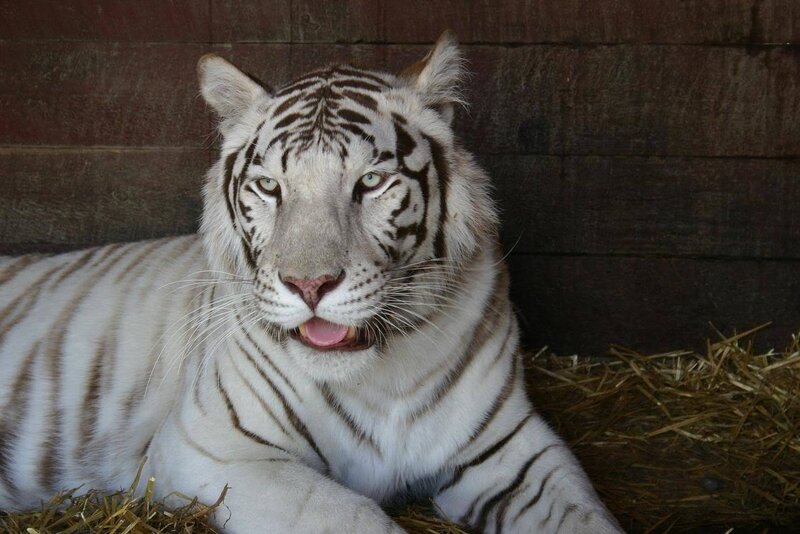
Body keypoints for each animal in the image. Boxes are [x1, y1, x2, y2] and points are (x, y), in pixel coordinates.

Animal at [0, 32, 622, 533]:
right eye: (270, 187)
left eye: (370, 182)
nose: (310, 285)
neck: (383, 377)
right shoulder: (211, 448)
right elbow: (351, 515)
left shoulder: (512, 450)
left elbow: (586, 517)